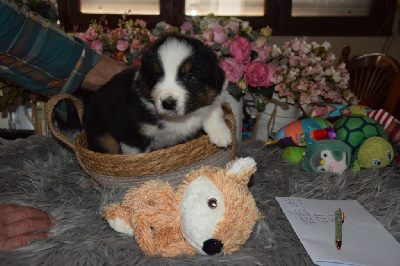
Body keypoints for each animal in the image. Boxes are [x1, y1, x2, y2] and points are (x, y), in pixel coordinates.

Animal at [83, 33, 233, 154]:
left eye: (188, 76)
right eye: (156, 75)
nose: (168, 103)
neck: (177, 119)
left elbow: (213, 109)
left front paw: (221, 134)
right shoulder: (131, 133)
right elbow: (136, 156)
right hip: (102, 135)